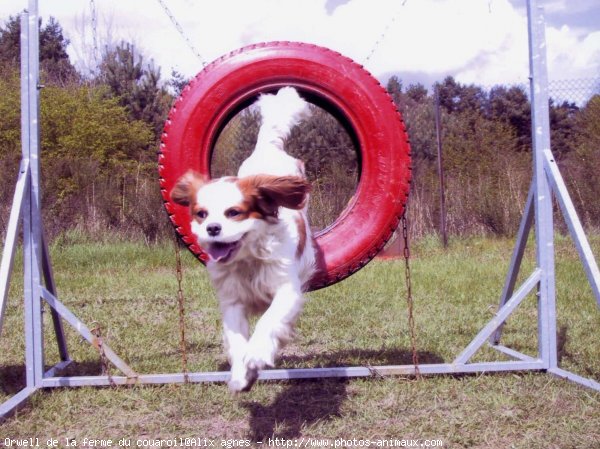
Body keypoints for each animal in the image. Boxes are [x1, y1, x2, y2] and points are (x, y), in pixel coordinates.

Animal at [170, 87, 316, 392]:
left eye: (234, 213)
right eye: (201, 214)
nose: (212, 228)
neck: (248, 259)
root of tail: (269, 147)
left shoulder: (286, 290)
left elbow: (268, 321)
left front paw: (257, 354)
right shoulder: (233, 300)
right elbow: (237, 340)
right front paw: (241, 375)